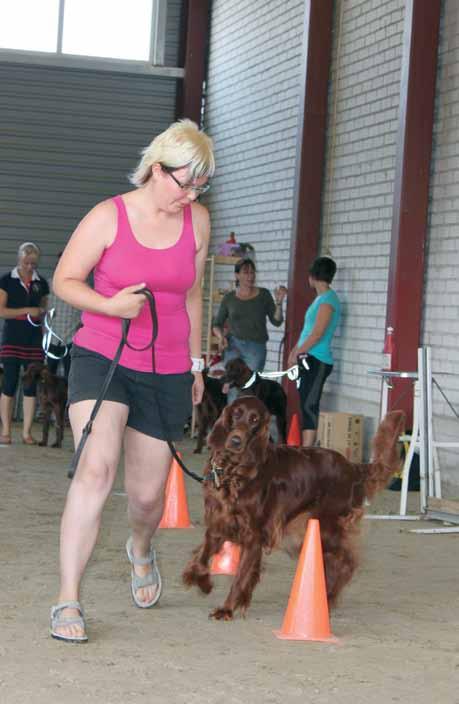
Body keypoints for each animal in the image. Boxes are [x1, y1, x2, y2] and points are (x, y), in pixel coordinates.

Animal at [183, 396, 406, 620]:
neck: (234, 472)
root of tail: (352, 467)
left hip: (325, 528)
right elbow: (202, 557)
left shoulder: (253, 535)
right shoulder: (218, 522)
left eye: (254, 419)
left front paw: (227, 609)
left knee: (348, 560)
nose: (236, 441)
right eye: (236, 413)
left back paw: (329, 597)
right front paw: (202, 581)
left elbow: (240, 576)